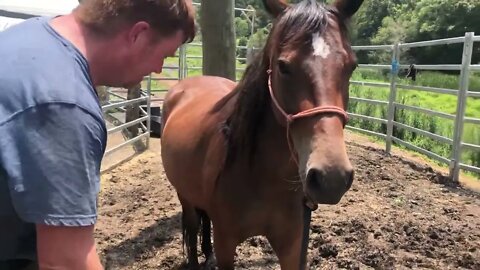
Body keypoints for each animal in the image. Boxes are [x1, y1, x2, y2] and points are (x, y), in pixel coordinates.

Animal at [159, 0, 362, 268]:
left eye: (351, 66)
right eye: (283, 66)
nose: (331, 177)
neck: (264, 177)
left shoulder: (292, 245)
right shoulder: (226, 243)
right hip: (185, 195)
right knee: (192, 230)